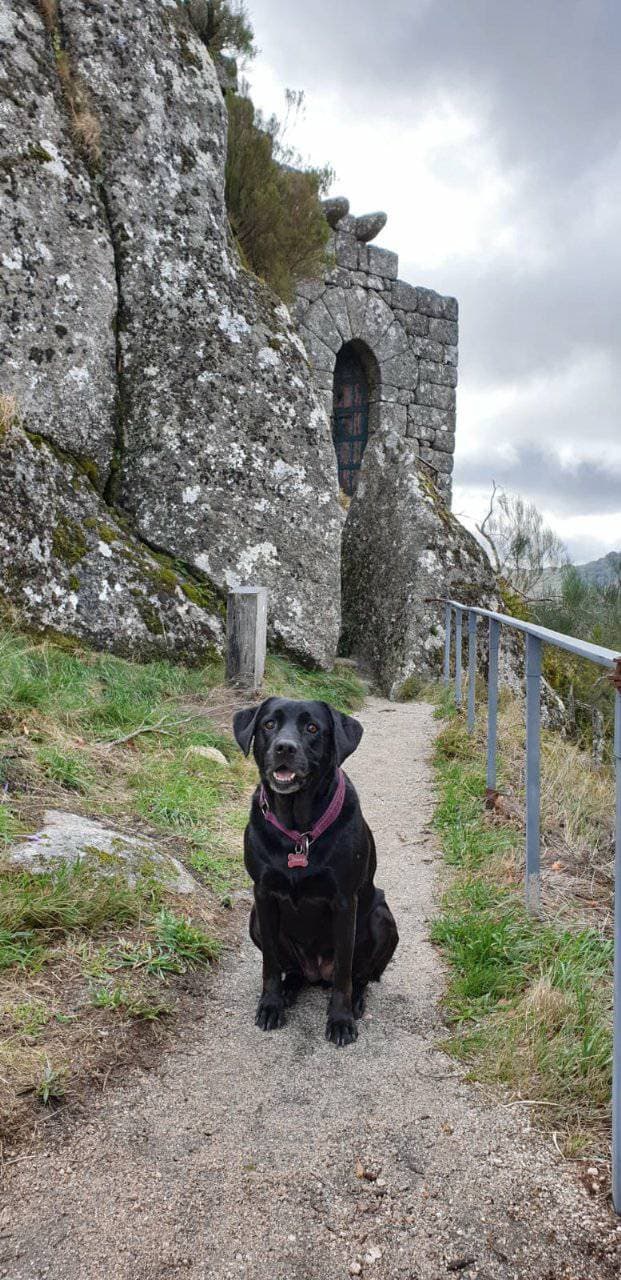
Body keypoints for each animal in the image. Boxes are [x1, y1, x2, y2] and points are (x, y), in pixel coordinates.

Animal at [233, 696, 396, 1044]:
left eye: (312, 728)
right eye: (268, 724)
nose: (284, 747)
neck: (298, 831)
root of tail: (317, 974)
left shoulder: (344, 902)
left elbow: (345, 971)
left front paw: (340, 1020)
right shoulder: (263, 895)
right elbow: (269, 964)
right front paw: (270, 1003)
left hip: (382, 917)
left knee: (359, 975)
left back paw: (355, 1001)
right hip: (255, 920)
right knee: (293, 970)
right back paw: (288, 990)